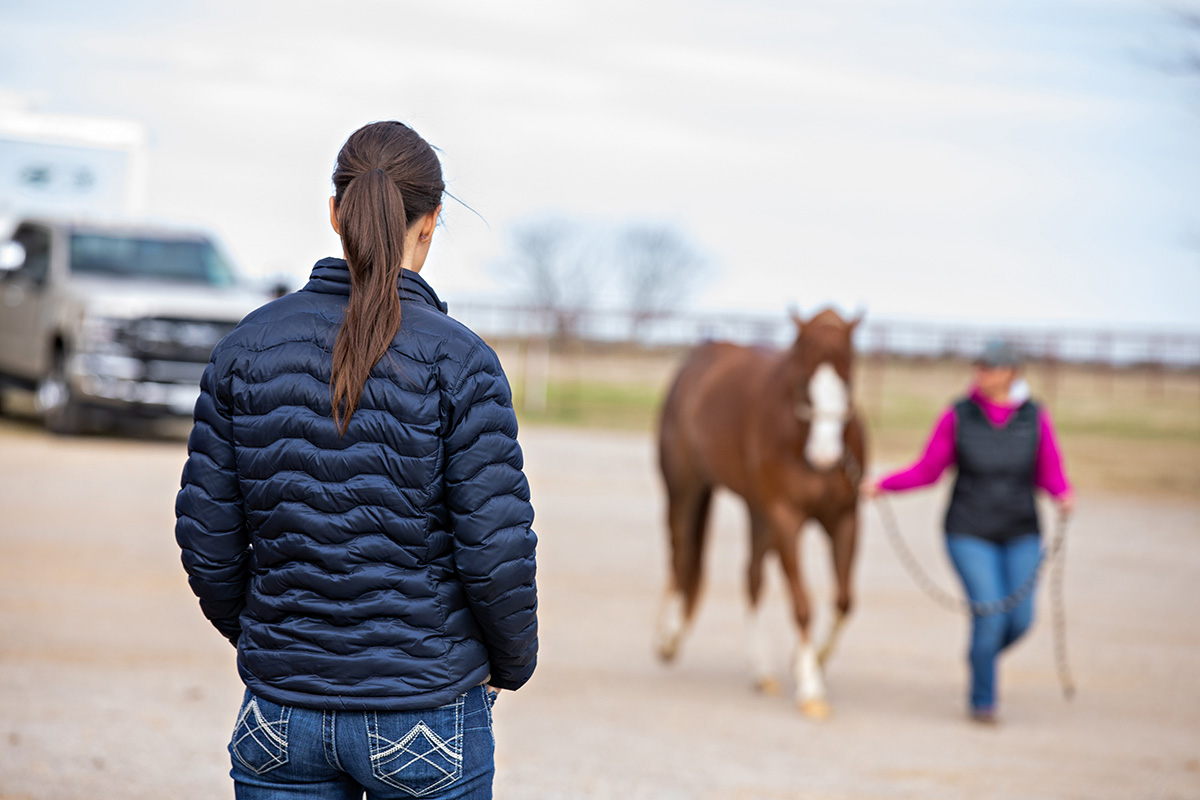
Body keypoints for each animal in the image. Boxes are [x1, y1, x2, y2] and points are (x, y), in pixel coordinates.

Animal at [657, 309, 864, 719]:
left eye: (848, 377)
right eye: (803, 379)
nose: (825, 456)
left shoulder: (845, 519)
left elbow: (844, 600)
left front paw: (810, 661)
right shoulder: (786, 518)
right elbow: (802, 603)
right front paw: (811, 688)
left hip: (758, 512)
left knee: (751, 578)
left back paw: (762, 671)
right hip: (685, 491)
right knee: (681, 554)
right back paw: (669, 638)